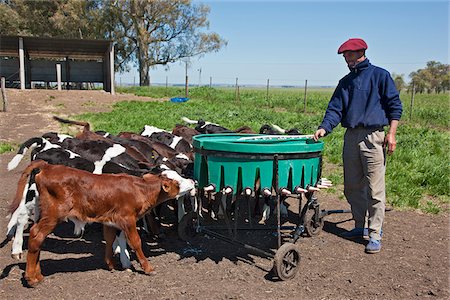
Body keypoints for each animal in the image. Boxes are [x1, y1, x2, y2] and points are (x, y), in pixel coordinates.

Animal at [11, 159, 194, 286]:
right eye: (177, 182)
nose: (193, 181)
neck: (139, 189)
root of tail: (48, 166)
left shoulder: (110, 221)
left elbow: (109, 239)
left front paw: (111, 265)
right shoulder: (127, 219)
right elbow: (135, 242)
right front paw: (148, 268)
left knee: (37, 239)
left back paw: (38, 274)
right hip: (52, 216)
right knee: (35, 235)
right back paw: (31, 278)